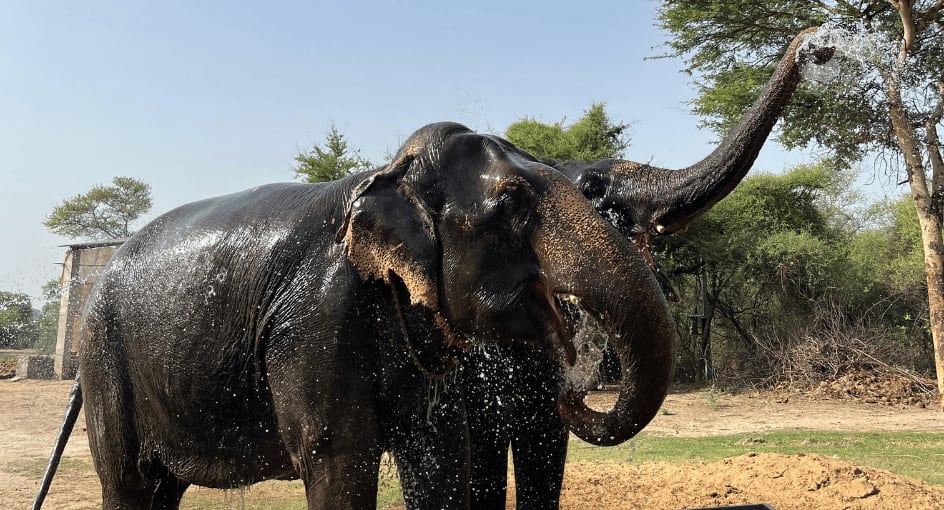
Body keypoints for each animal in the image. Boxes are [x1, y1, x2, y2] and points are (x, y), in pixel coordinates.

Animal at [34, 121, 677, 510]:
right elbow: (339, 456)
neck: (387, 174)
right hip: (106, 365)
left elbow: (443, 456)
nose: (573, 393)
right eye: (514, 202)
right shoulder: (316, 319)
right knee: (129, 481)